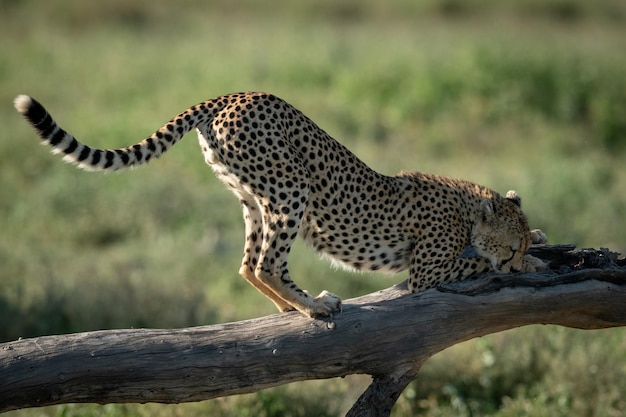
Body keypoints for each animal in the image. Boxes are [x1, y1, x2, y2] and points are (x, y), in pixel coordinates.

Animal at [12, 92, 544, 316]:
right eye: (509, 246)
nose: (517, 258)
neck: (469, 207)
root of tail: (233, 94)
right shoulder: (426, 272)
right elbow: (473, 264)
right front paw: (526, 263)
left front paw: (538, 241)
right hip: (291, 189)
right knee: (267, 262)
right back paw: (314, 308)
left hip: (255, 196)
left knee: (249, 263)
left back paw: (295, 304)